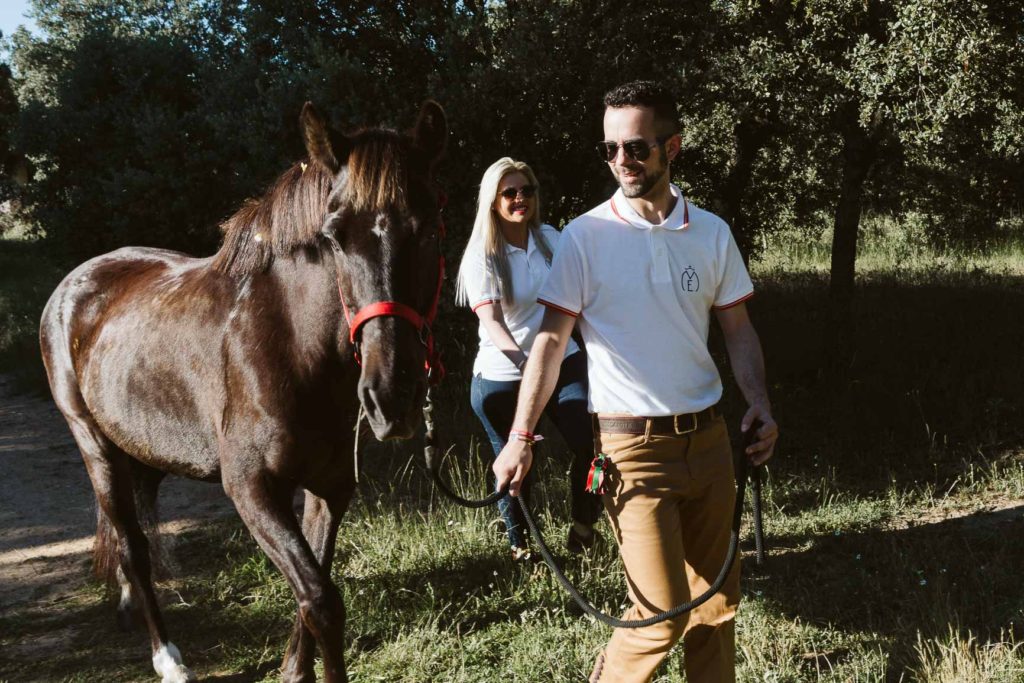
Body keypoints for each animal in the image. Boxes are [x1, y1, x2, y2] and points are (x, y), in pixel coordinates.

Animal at [39, 98, 448, 679]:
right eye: (334, 236)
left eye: (431, 227)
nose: (392, 396)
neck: (291, 349)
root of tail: (72, 287)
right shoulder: (252, 489)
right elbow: (322, 601)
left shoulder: (331, 488)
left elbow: (312, 590)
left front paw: (294, 670)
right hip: (94, 446)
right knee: (134, 550)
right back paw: (169, 659)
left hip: (144, 451)